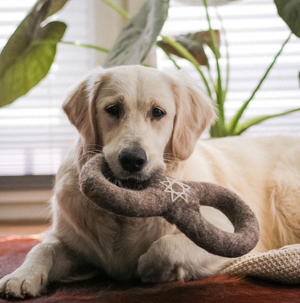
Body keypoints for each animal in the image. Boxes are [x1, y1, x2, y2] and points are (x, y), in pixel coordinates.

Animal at [0, 66, 300, 300]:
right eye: (112, 109)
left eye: (157, 112)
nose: (132, 159)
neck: (125, 213)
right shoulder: (72, 240)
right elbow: (43, 246)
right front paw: (21, 276)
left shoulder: (227, 236)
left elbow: (166, 246)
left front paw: (150, 269)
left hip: (284, 193)